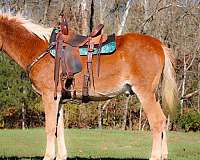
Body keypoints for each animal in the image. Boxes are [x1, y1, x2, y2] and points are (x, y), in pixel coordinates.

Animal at [0, 13, 178, 160]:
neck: (37, 48)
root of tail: (159, 45)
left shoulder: (49, 96)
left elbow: (50, 128)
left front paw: (48, 156)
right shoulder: (59, 99)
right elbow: (59, 128)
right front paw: (61, 156)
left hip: (145, 93)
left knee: (157, 122)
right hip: (153, 94)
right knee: (163, 121)